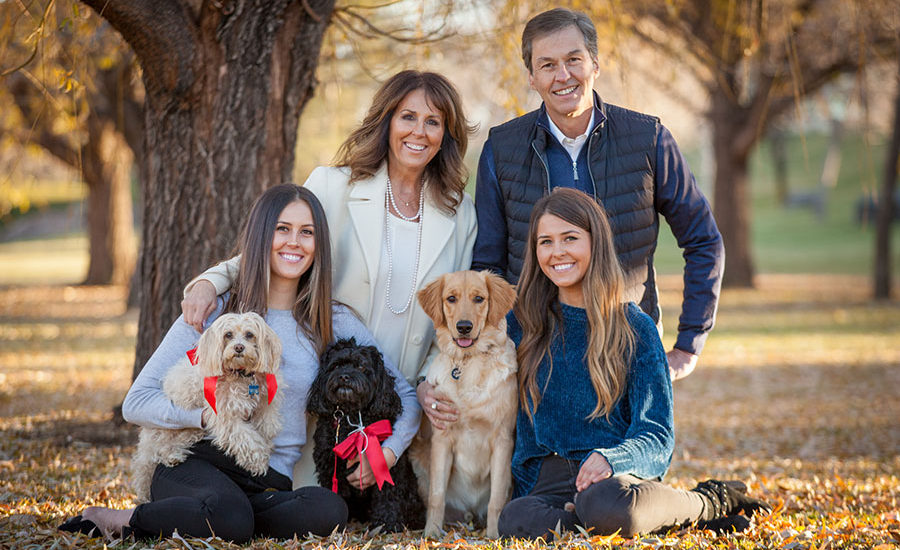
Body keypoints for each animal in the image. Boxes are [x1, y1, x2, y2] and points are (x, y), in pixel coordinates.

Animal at [131, 312, 282, 502]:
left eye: (249, 334)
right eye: (228, 335)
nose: (239, 347)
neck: (239, 374)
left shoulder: (264, 405)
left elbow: (266, 426)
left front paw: (267, 443)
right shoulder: (225, 417)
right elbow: (246, 438)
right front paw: (258, 461)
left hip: (191, 432)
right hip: (165, 433)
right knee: (159, 450)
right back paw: (171, 457)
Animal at [308, 338, 424, 532]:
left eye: (361, 366)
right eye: (336, 366)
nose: (344, 376)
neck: (352, 415)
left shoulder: (388, 467)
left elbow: (387, 494)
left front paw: (386, 523)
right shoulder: (329, 465)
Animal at [412, 272, 516, 540]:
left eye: (479, 298)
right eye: (451, 298)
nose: (464, 327)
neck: (469, 362)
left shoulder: (503, 440)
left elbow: (496, 499)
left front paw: (494, 536)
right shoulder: (442, 439)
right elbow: (437, 496)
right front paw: (431, 533)